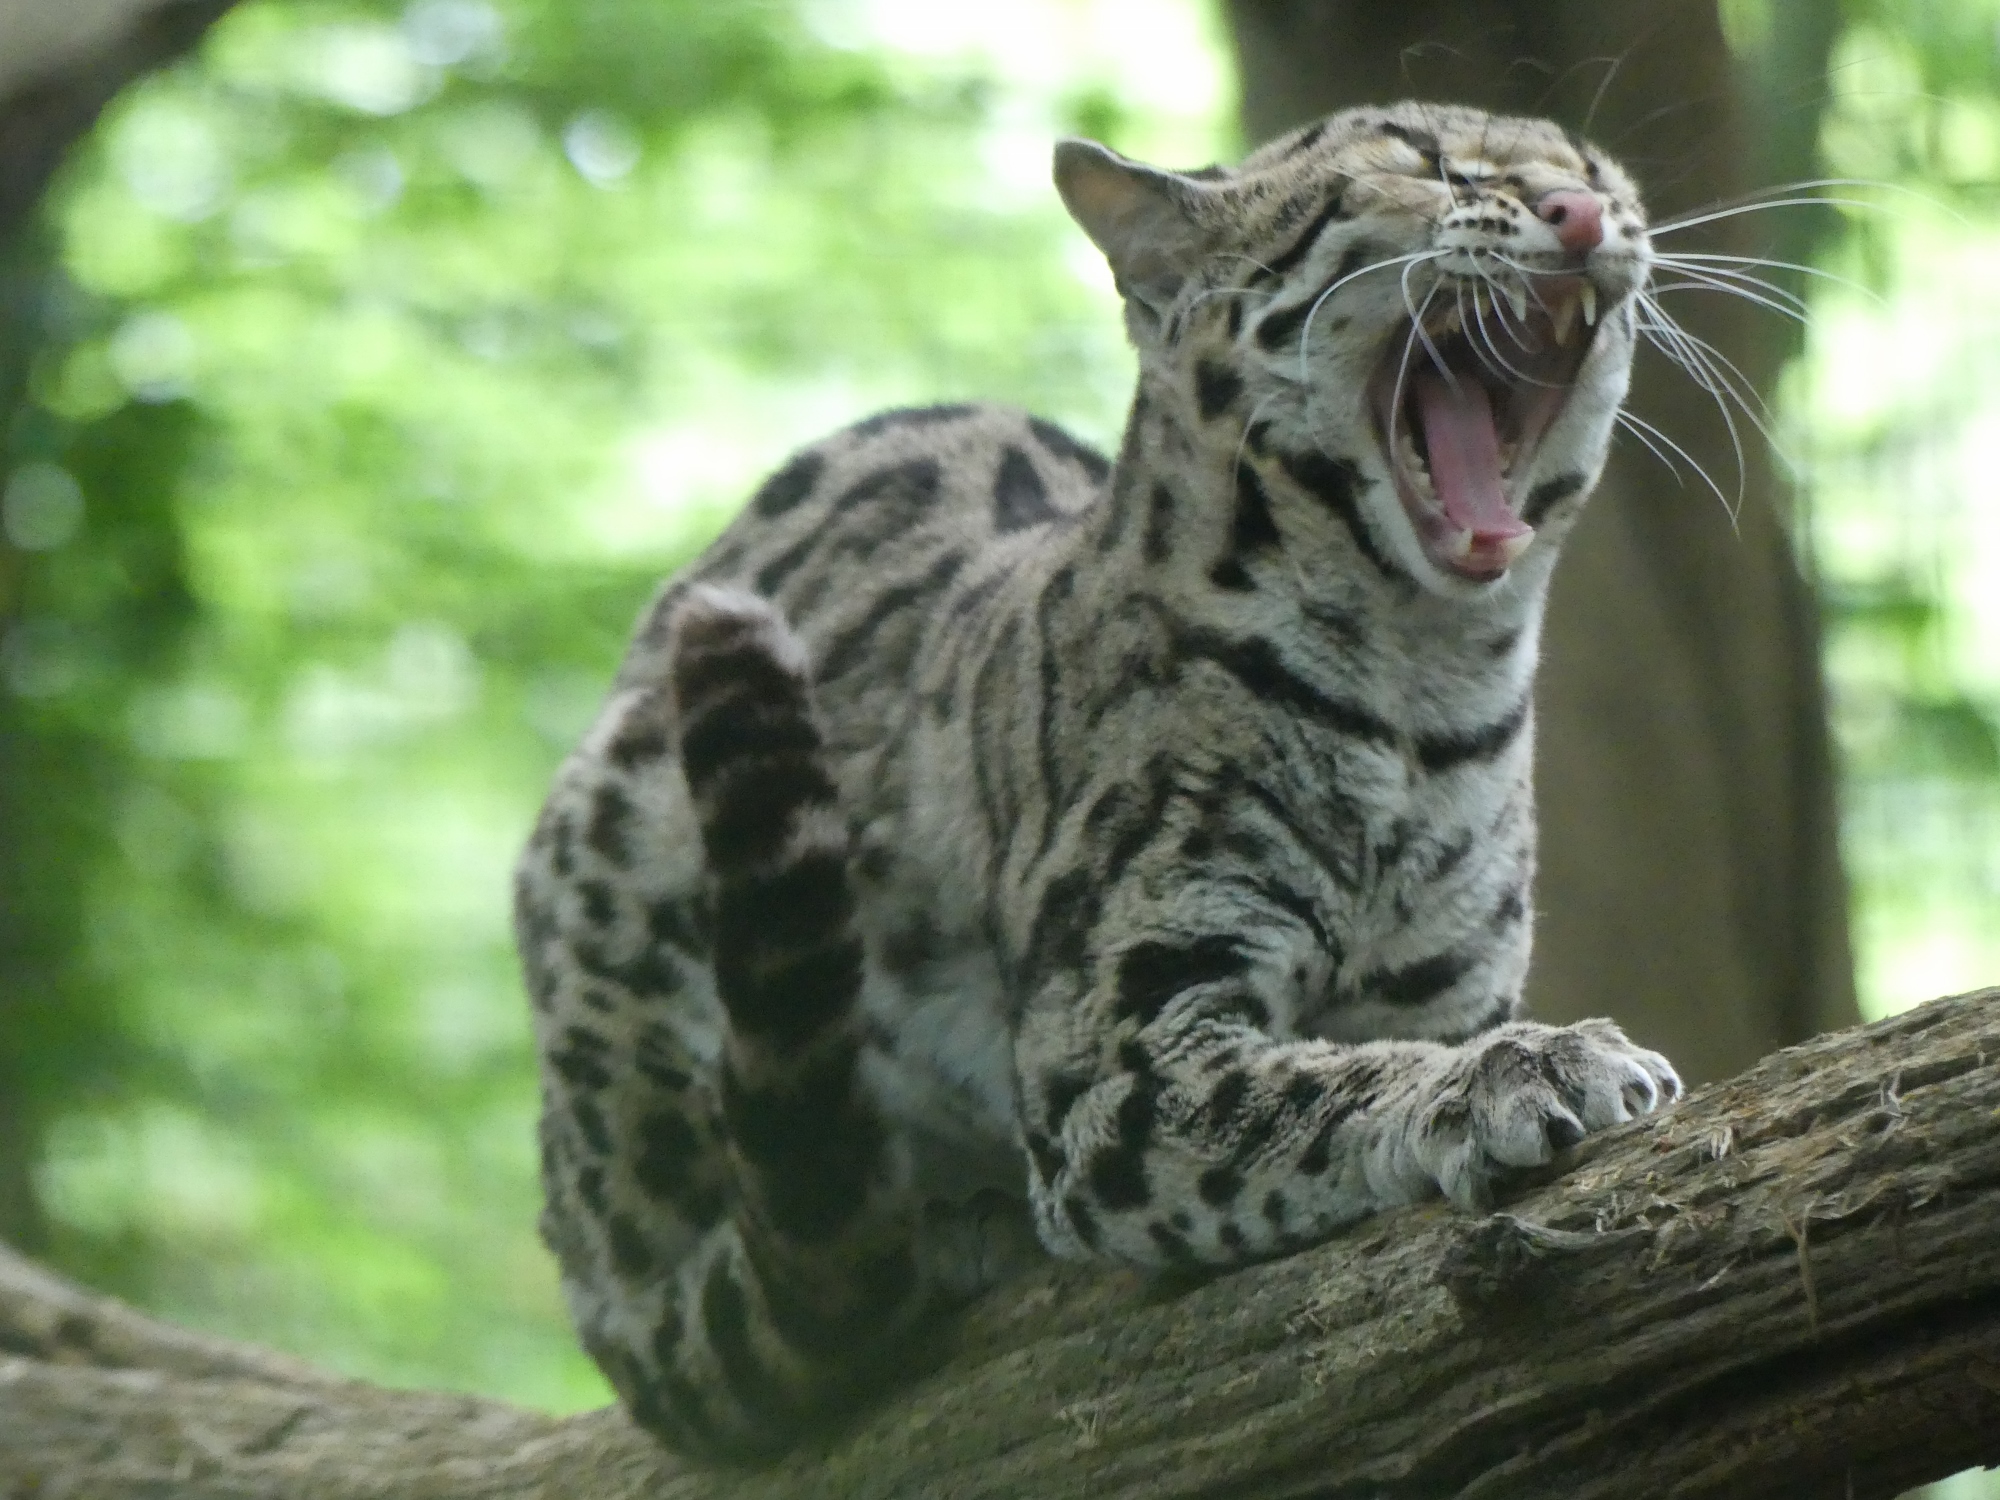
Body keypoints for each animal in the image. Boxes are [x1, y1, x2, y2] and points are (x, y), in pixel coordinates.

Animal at [516, 100, 1688, 1464]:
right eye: (1421, 160)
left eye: (1599, 174)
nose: (1581, 215)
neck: (1426, 697)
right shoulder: (1116, 1059)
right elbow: (1311, 1087)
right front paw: (1528, 1072)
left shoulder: (1442, 985)